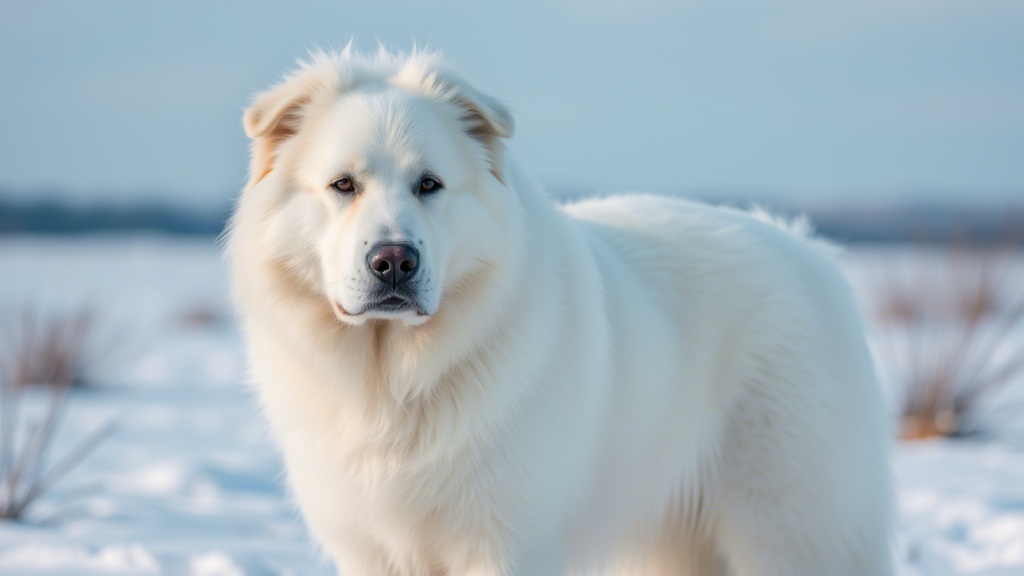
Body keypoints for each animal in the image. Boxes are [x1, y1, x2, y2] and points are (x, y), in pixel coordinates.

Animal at [228, 47, 892, 569]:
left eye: (429, 185)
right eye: (343, 185)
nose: (394, 261)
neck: (396, 381)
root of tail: (809, 251)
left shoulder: (505, 544)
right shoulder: (372, 550)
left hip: (793, 530)